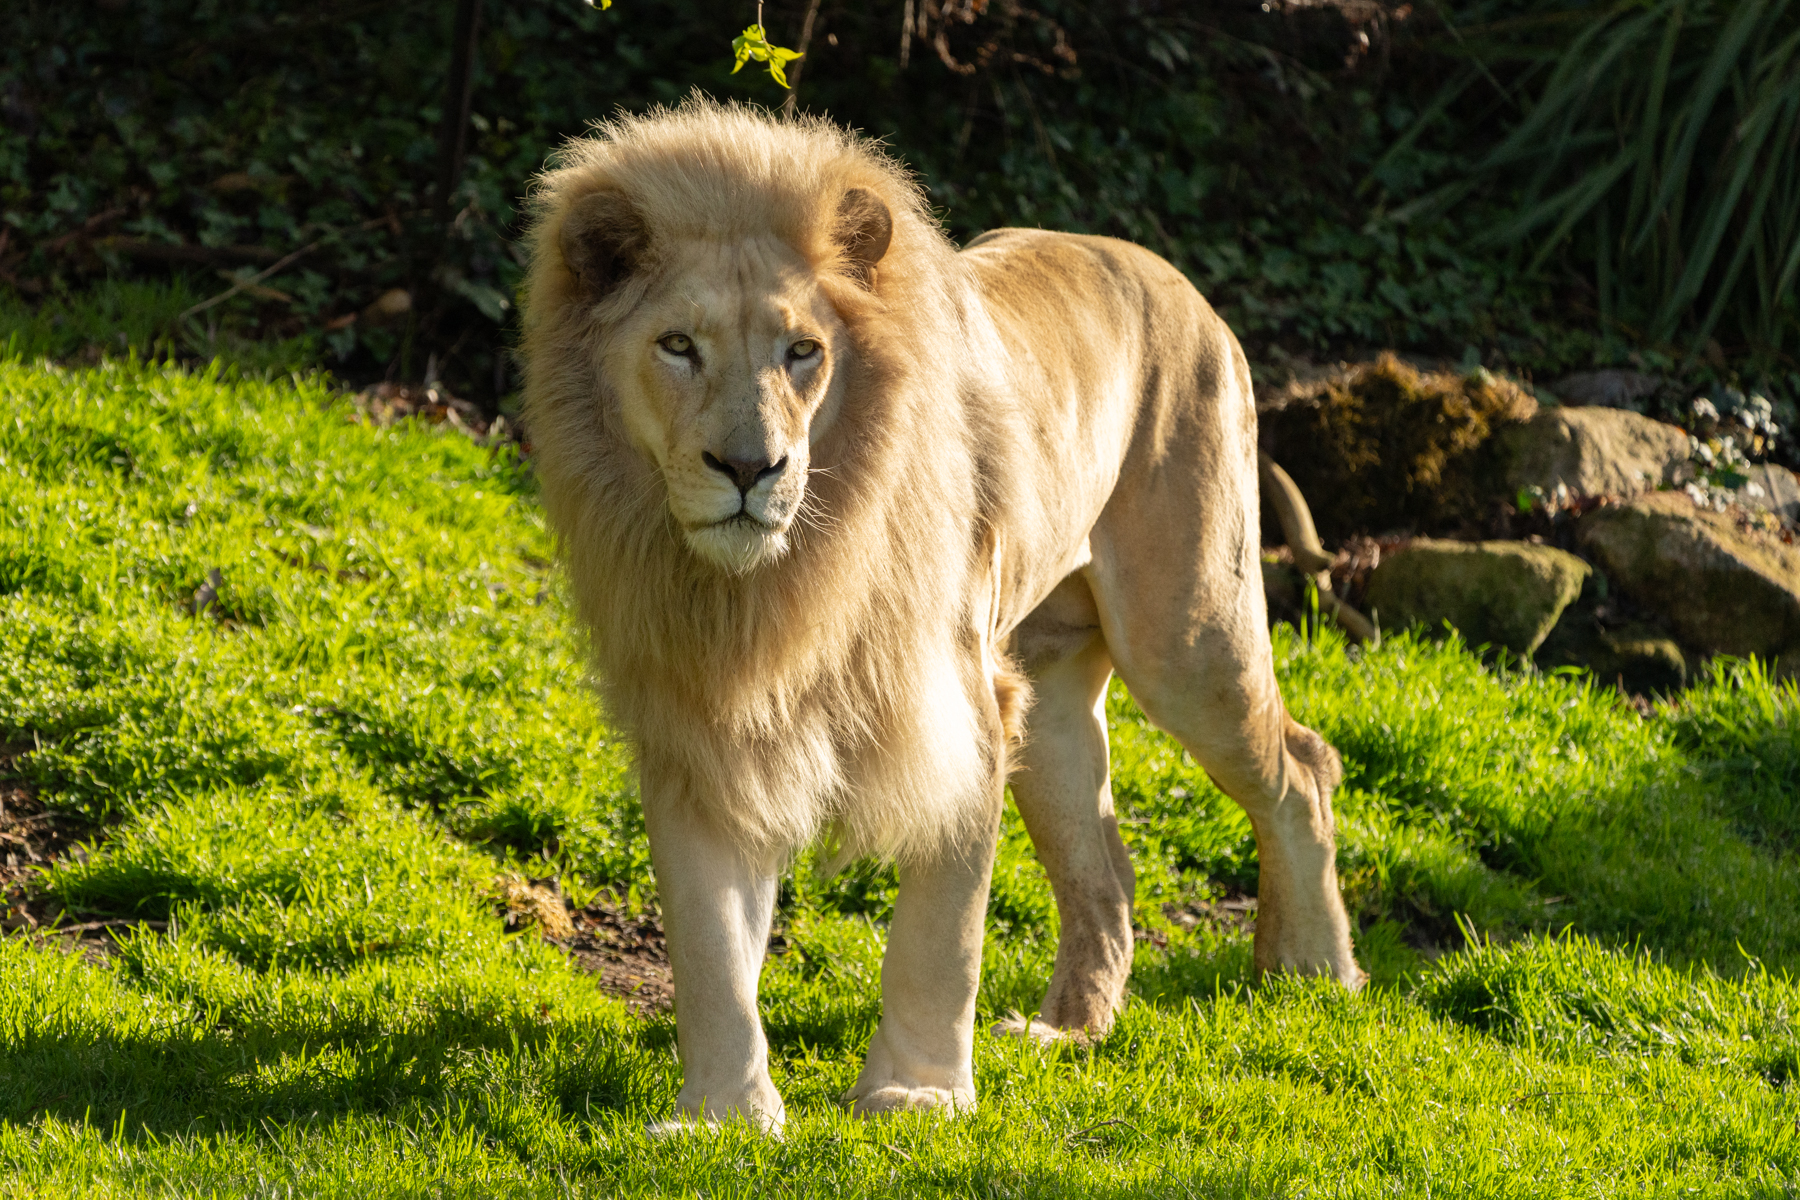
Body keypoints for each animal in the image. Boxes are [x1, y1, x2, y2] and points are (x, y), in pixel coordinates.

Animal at [520, 98, 1363, 1132]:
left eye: (803, 351)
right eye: (679, 346)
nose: (751, 469)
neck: (768, 593)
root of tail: (1175, 280)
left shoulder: (961, 704)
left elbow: (939, 932)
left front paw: (915, 1093)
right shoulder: (696, 723)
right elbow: (710, 941)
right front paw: (722, 1115)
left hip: (1188, 636)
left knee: (1302, 767)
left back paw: (1313, 971)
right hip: (1053, 697)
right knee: (1107, 868)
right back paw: (1067, 1031)